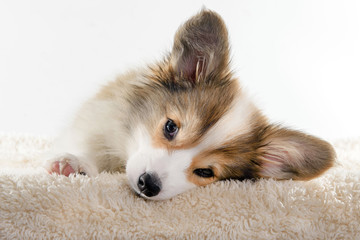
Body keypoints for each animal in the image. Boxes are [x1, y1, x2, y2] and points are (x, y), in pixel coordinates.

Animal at [44, 9, 334, 201]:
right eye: (170, 127)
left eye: (205, 172)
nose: (148, 184)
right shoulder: (96, 122)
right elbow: (85, 146)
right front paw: (74, 164)